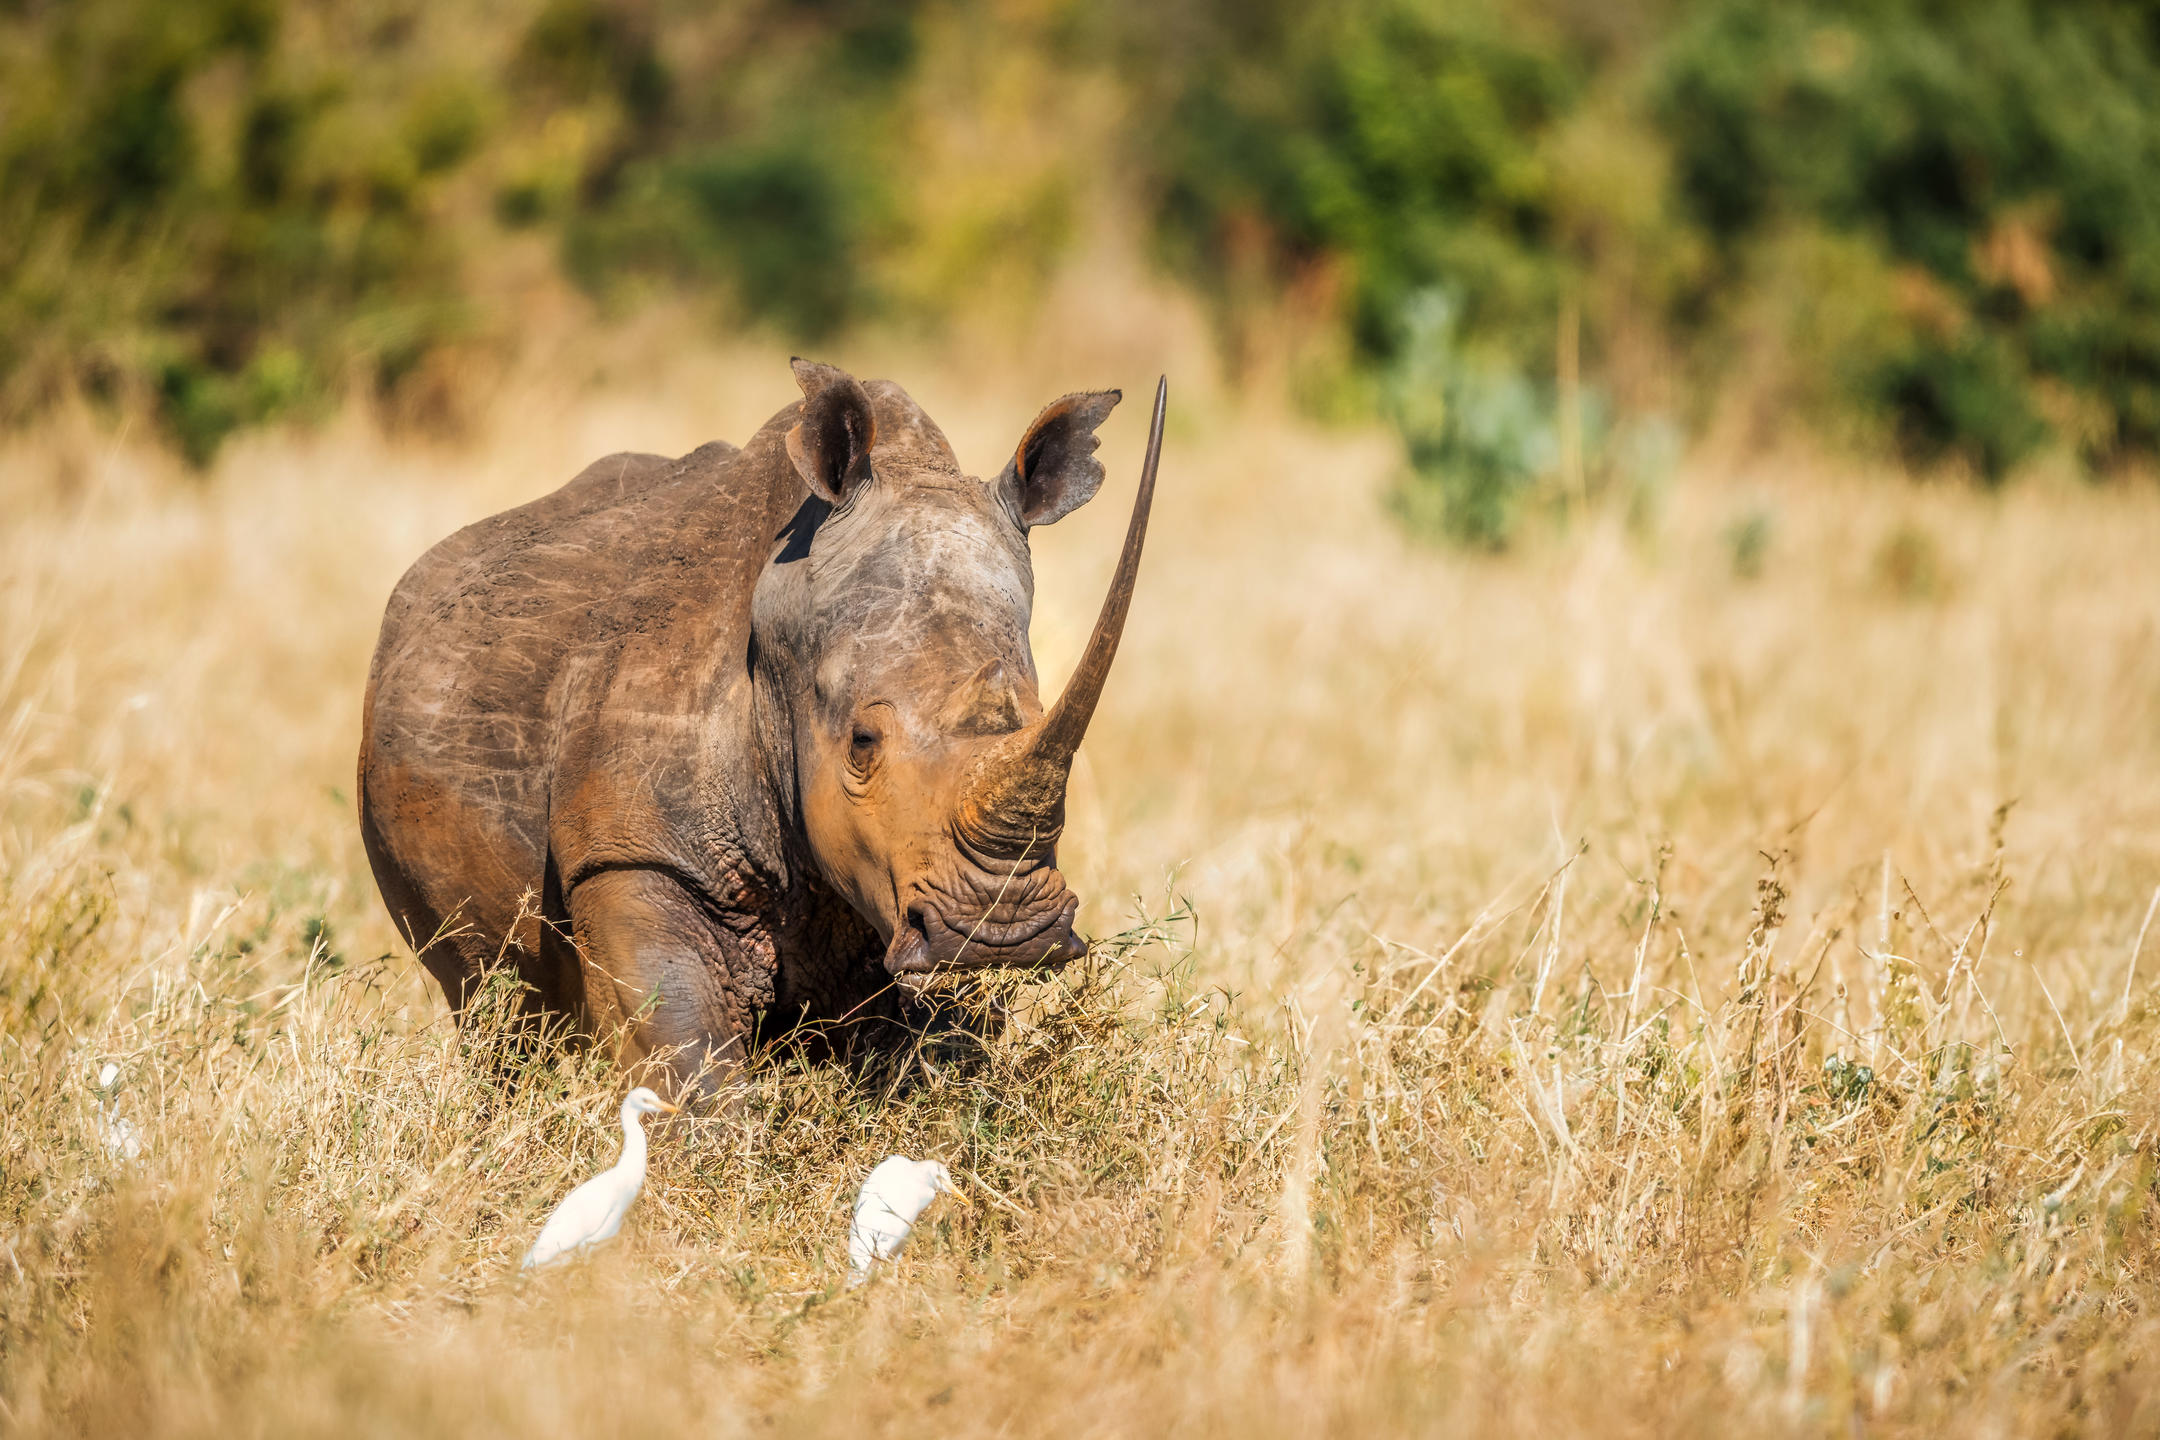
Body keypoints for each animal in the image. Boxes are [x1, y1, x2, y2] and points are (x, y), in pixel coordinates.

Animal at [357, 359, 1164, 1097]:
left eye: (1038, 723)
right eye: (861, 746)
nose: (1002, 935)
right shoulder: (629, 853)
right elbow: (683, 1058)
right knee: (487, 1001)